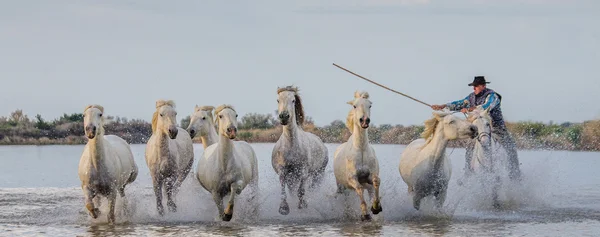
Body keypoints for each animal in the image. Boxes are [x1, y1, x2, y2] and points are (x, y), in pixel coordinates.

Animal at [272, 86, 328, 216]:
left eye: (293, 100)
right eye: (278, 100)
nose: (284, 116)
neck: (291, 146)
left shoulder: (303, 172)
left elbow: (301, 191)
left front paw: (303, 205)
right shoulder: (283, 172)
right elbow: (284, 191)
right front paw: (284, 208)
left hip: (318, 173)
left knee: (312, 187)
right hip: (293, 177)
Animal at [332, 90, 380, 220]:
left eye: (370, 105)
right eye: (354, 106)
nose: (364, 121)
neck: (361, 149)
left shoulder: (370, 176)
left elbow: (376, 182)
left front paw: (376, 207)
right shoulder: (352, 178)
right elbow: (359, 189)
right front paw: (365, 214)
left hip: (365, 184)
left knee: (370, 190)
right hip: (342, 187)